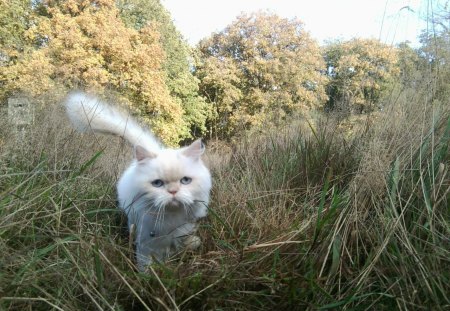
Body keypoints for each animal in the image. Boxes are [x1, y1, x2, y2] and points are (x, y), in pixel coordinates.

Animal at [64, 92, 213, 270]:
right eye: (157, 184)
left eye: (185, 181)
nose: (173, 192)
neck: (170, 219)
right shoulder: (146, 238)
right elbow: (146, 260)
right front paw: (148, 273)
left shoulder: (182, 228)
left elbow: (180, 242)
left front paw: (186, 248)